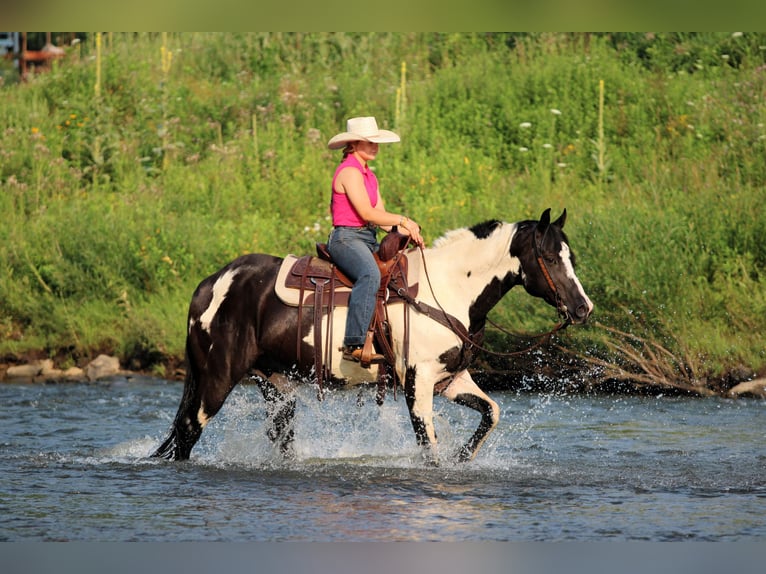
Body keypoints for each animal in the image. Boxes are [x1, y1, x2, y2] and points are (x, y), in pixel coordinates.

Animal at [151, 208, 593, 464]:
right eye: (549, 257)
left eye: (572, 256)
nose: (583, 309)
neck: (448, 289)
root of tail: (211, 283)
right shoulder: (418, 382)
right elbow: (428, 446)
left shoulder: (451, 379)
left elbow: (492, 413)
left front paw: (464, 457)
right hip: (217, 378)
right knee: (188, 432)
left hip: (276, 385)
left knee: (281, 438)